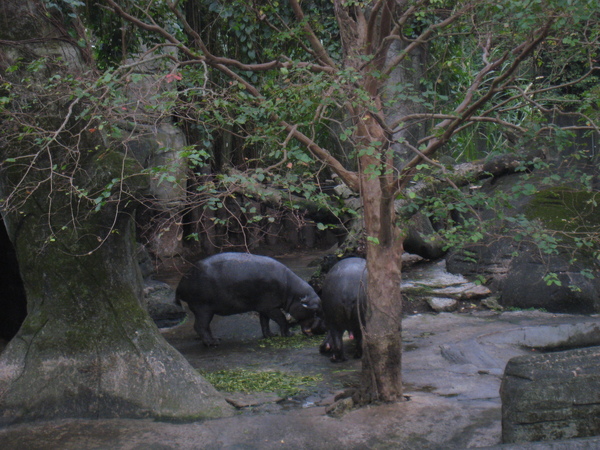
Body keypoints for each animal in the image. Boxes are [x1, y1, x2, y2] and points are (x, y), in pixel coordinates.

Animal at [175, 253, 322, 344]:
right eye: (315, 312)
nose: (320, 330)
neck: (292, 292)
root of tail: (181, 283)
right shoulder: (272, 307)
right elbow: (281, 320)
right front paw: (289, 334)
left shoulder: (265, 307)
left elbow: (264, 322)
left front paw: (270, 335)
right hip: (203, 308)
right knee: (200, 326)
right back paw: (212, 343)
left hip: (204, 309)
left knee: (205, 326)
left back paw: (217, 339)